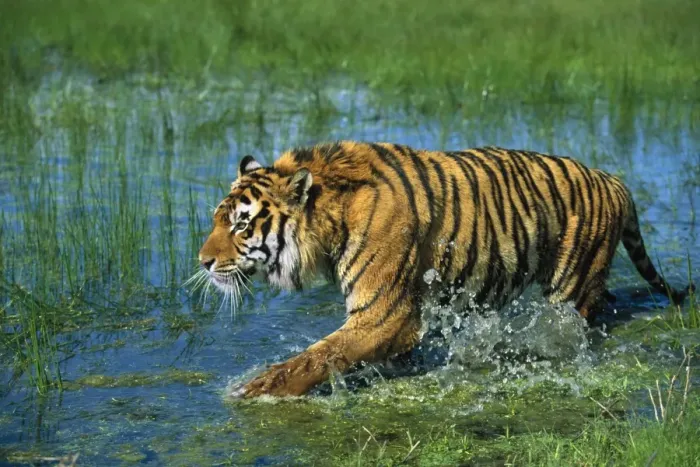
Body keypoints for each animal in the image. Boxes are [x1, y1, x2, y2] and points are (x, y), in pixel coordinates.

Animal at [197, 141, 694, 398]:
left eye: (241, 224)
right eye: (218, 219)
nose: (203, 261)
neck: (331, 218)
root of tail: (613, 179)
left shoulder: (383, 315)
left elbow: (315, 357)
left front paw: (253, 390)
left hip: (569, 287)